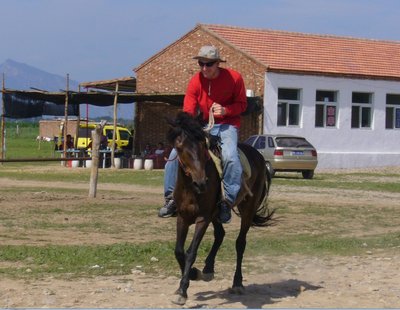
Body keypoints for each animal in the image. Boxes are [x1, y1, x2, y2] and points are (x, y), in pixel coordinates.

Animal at [166, 111, 276, 306]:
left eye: (203, 145)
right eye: (179, 146)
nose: (201, 183)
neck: (190, 188)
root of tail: (260, 157)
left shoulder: (202, 218)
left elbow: (191, 252)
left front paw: (184, 288)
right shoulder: (183, 217)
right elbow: (179, 251)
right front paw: (190, 276)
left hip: (247, 209)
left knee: (240, 243)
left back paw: (237, 283)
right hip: (216, 214)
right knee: (220, 234)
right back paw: (208, 269)